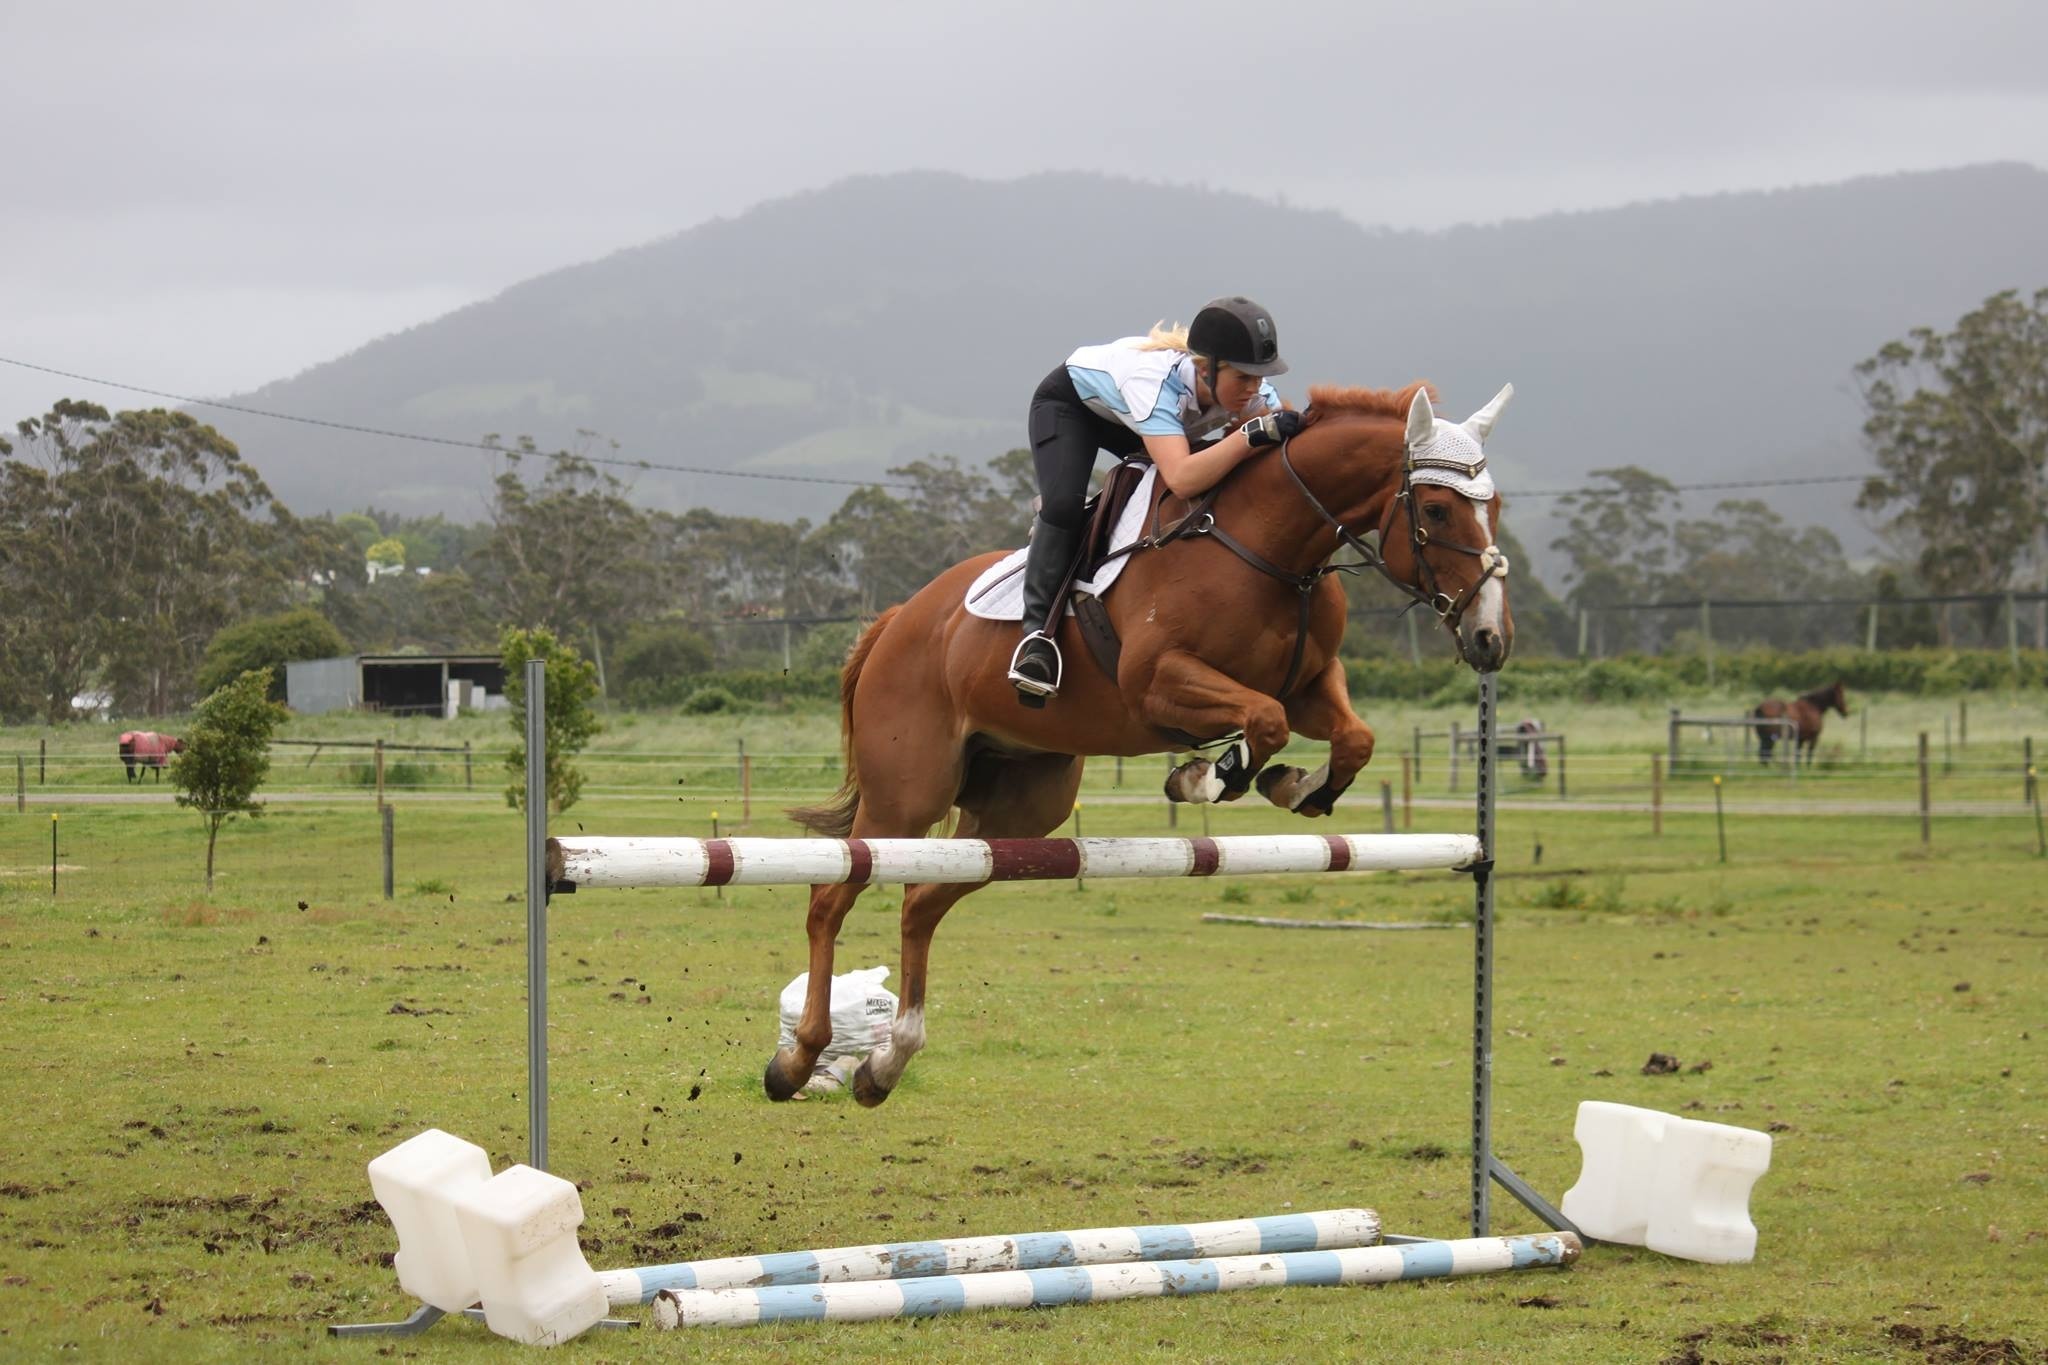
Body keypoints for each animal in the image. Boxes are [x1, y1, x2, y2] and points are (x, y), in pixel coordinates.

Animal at [770, 382, 1523, 1113]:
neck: (1271, 547)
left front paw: (1294, 786)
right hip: (907, 795)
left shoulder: (1312, 684)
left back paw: (885, 1065)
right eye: (1436, 509)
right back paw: (798, 1059)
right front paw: (1205, 777)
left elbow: (1352, 737)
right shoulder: (1157, 684)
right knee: (830, 895)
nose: (1491, 640)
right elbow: (1266, 721)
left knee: (922, 902)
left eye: (1494, 507)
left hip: (1021, 810)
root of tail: (899, 619)